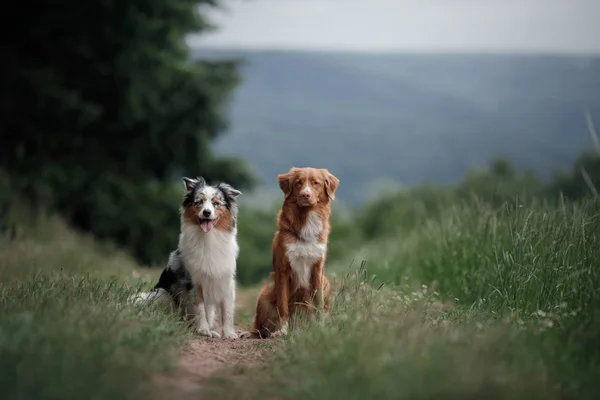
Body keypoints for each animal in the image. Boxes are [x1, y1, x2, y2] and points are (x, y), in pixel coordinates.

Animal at [250, 166, 340, 338]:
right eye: (298, 183)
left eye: (316, 183)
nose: (305, 195)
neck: (306, 219)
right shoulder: (283, 270)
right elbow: (283, 306)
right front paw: (282, 330)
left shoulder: (317, 269)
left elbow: (318, 303)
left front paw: (320, 327)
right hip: (264, 296)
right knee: (259, 327)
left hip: (326, 282)